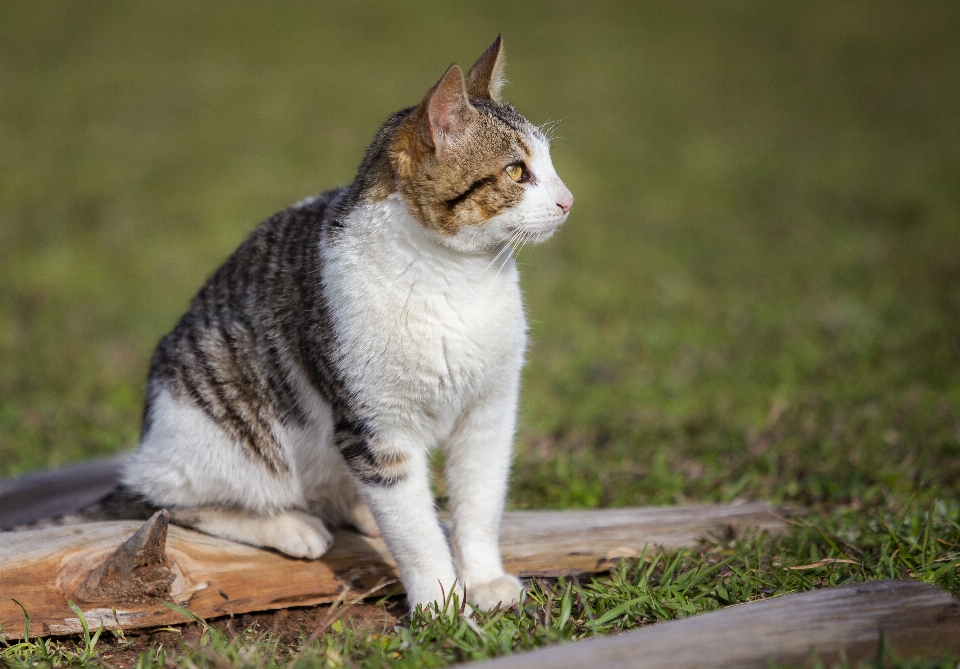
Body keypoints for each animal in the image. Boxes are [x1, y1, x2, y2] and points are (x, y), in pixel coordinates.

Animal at [119, 35, 568, 612]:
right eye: (516, 172)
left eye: (549, 164)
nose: (568, 200)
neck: (457, 278)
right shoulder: (377, 430)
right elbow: (414, 532)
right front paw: (440, 604)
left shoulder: (489, 411)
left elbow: (481, 503)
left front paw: (483, 579)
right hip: (212, 438)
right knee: (158, 499)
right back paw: (289, 525)